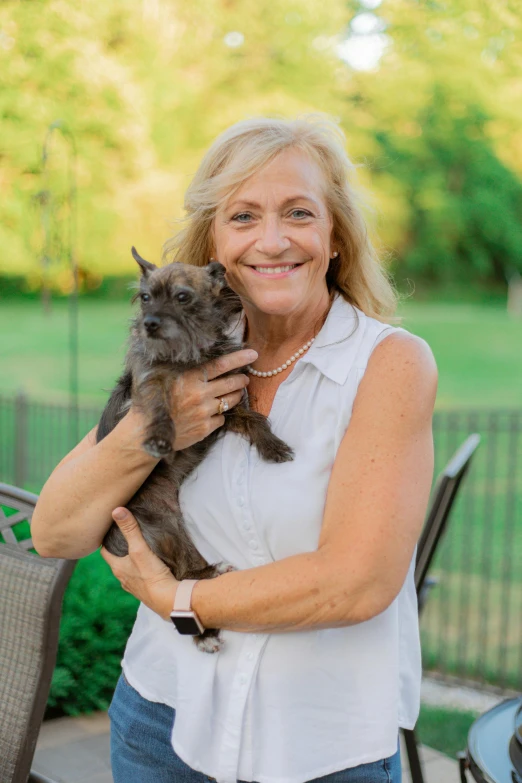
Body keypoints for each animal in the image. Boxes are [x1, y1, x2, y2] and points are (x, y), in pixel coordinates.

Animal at [97, 248, 292, 652]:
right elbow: (159, 406)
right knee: (185, 573)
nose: (150, 324)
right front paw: (159, 437)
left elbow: (256, 420)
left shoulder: (228, 407)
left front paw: (272, 447)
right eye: (145, 298)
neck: (190, 353)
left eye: (182, 297)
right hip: (164, 527)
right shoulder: (151, 383)